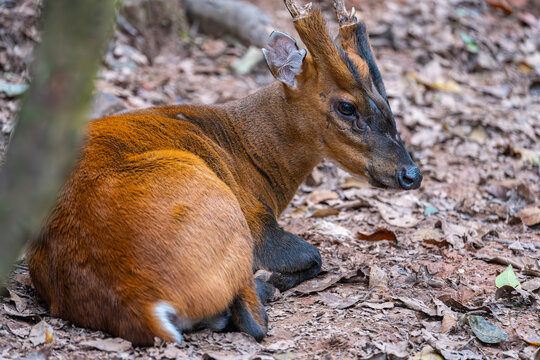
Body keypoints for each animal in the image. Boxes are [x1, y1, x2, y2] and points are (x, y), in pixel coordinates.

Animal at [25, 0, 422, 346]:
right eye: (346, 107)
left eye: (386, 99)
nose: (412, 174)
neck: (250, 152)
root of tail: (141, 304)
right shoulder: (258, 221)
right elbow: (313, 256)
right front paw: (274, 277)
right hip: (223, 209)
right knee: (252, 318)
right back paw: (264, 286)